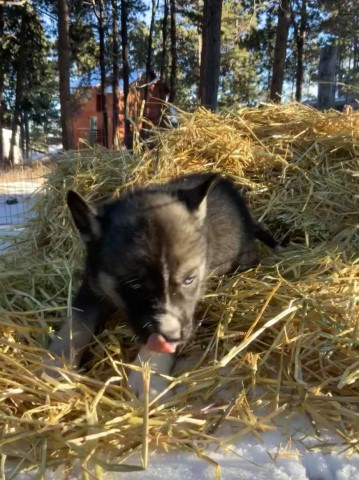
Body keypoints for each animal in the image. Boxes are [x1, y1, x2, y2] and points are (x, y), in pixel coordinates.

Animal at [45, 172, 280, 398]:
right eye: (135, 283)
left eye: (189, 280)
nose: (173, 335)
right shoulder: (93, 285)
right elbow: (76, 323)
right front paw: (56, 366)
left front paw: (147, 378)